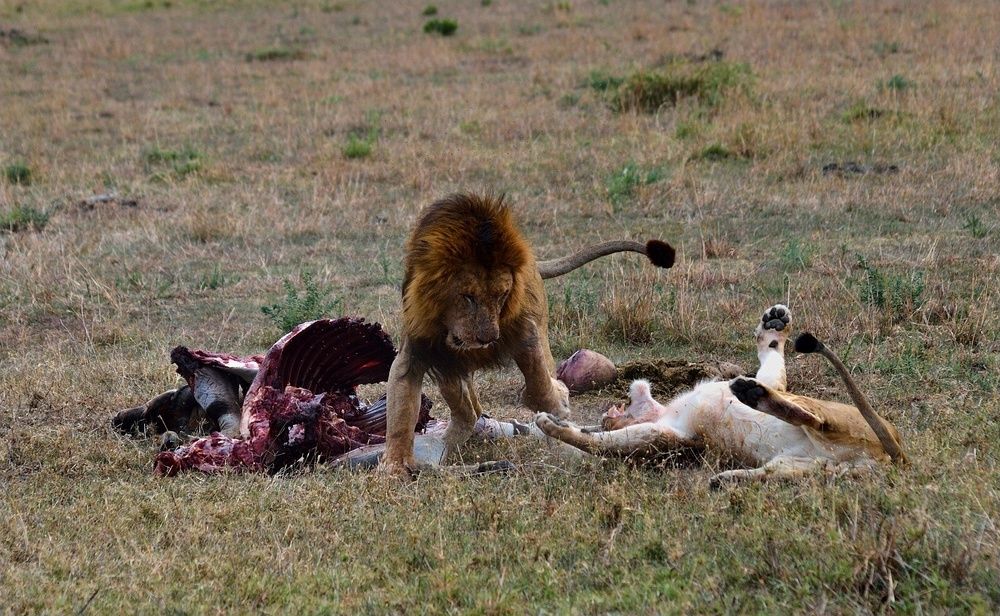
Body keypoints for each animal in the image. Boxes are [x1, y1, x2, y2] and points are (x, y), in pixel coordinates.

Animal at [381, 193, 675, 476]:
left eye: (502, 295)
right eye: (468, 297)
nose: (488, 339)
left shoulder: (525, 332)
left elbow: (538, 389)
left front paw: (560, 407)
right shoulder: (418, 350)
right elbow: (401, 411)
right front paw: (395, 464)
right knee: (469, 409)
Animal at [533, 305, 907, 486]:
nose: (603, 416)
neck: (662, 410)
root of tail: (896, 455)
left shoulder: (673, 436)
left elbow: (772, 362)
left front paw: (775, 324)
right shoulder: (675, 439)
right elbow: (602, 444)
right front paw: (554, 425)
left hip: (828, 414)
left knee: (814, 418)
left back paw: (753, 396)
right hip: (805, 466)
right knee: (798, 443)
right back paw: (728, 478)